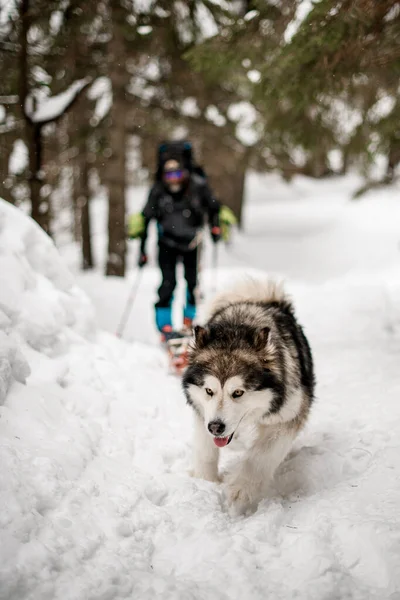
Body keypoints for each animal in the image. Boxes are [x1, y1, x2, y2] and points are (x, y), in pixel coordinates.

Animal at [182, 278, 316, 516]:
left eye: (238, 392)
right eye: (209, 391)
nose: (216, 427)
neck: (238, 327)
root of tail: (263, 300)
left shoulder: (287, 417)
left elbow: (261, 456)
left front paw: (241, 490)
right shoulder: (202, 413)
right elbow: (206, 450)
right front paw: (205, 482)